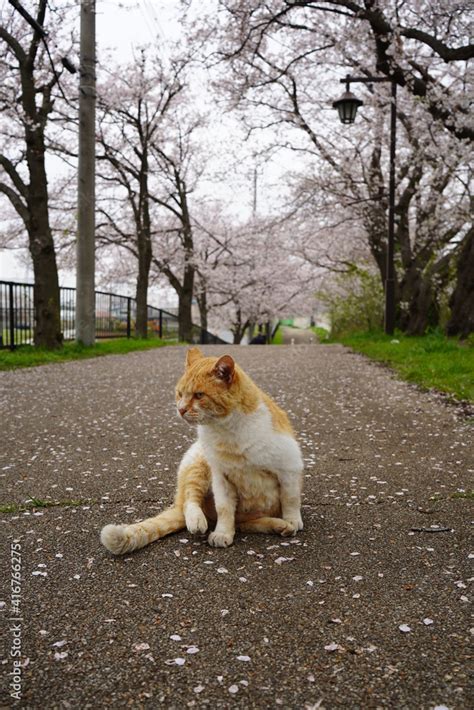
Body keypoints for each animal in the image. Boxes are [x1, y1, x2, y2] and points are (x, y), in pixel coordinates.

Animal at [100, 350, 304, 556]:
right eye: (180, 394)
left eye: (199, 395)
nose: (180, 409)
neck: (227, 431)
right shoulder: (221, 477)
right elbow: (224, 509)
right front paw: (222, 533)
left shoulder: (289, 469)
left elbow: (291, 498)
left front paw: (293, 519)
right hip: (198, 463)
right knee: (189, 501)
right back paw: (197, 520)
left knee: (244, 524)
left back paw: (281, 525)